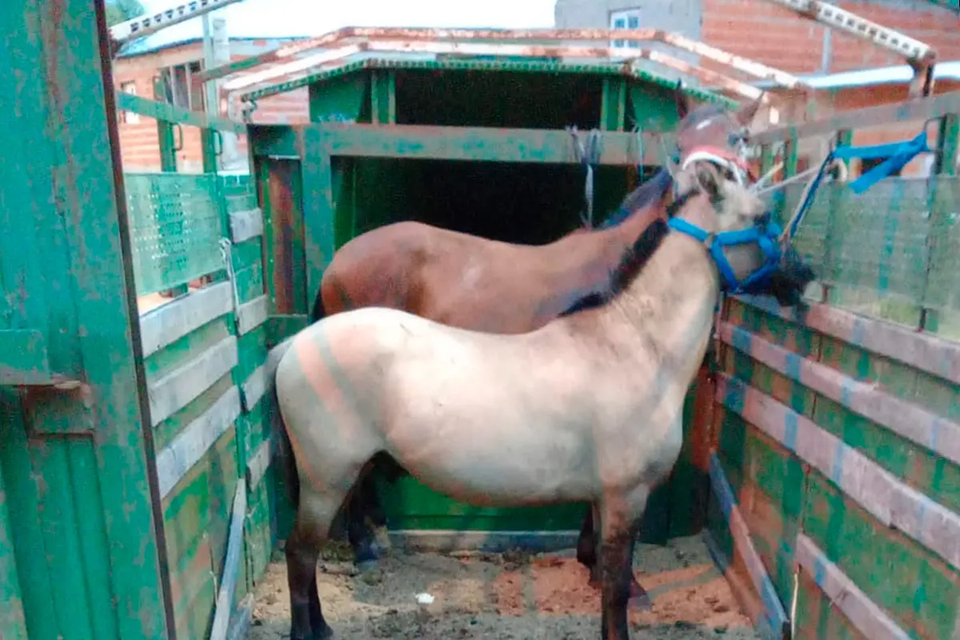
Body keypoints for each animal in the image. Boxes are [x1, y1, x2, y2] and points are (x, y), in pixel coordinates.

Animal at [272, 156, 814, 640]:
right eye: (760, 218)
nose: (804, 275)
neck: (635, 346)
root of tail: (293, 346)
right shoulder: (626, 496)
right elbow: (617, 587)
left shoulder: (603, 498)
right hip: (327, 479)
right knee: (300, 553)